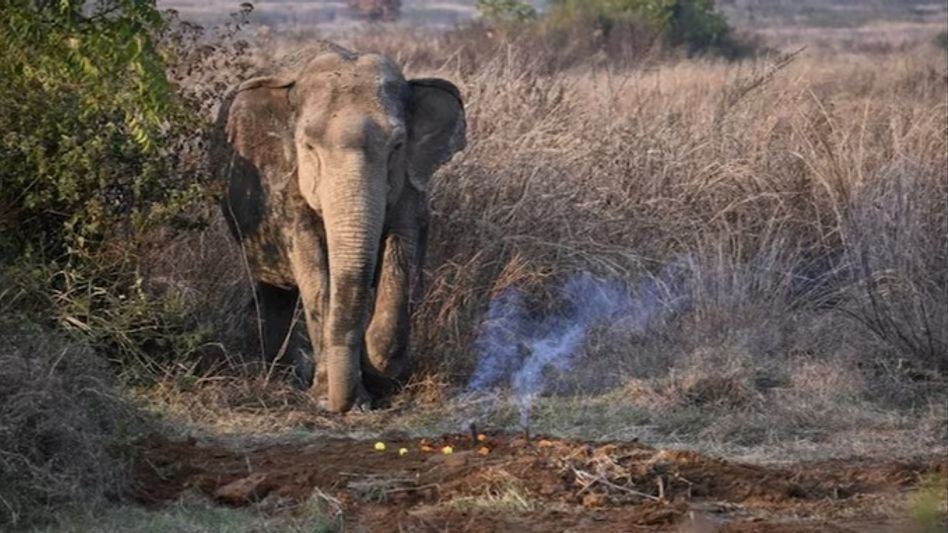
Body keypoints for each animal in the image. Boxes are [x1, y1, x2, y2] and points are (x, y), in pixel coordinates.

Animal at [213, 42, 465, 413]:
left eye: (397, 146)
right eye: (308, 146)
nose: (345, 404)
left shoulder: (409, 187)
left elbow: (401, 252)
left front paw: (375, 374)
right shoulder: (286, 189)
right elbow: (314, 270)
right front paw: (327, 398)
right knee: (271, 291)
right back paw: (281, 370)